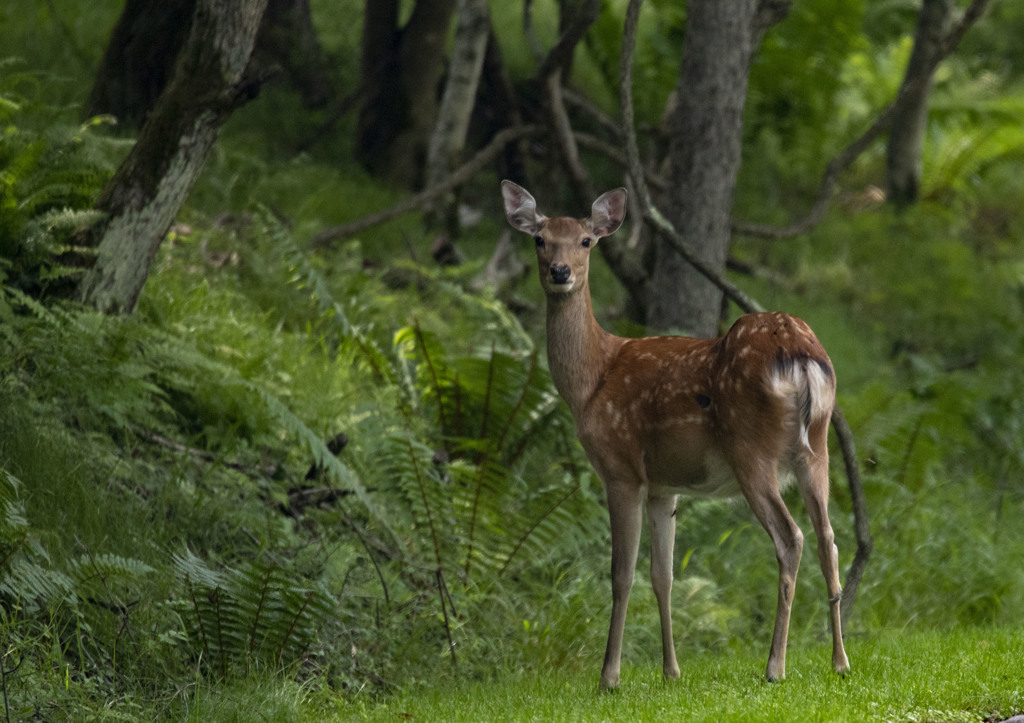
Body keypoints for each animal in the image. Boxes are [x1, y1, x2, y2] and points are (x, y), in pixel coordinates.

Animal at [499, 180, 851, 688]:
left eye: (586, 241)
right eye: (540, 239)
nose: (560, 271)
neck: (591, 381)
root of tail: (800, 355)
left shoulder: (622, 470)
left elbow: (621, 573)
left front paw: (609, 676)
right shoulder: (665, 487)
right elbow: (662, 576)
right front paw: (671, 671)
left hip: (751, 450)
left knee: (792, 538)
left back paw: (775, 666)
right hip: (816, 449)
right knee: (828, 538)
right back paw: (840, 661)